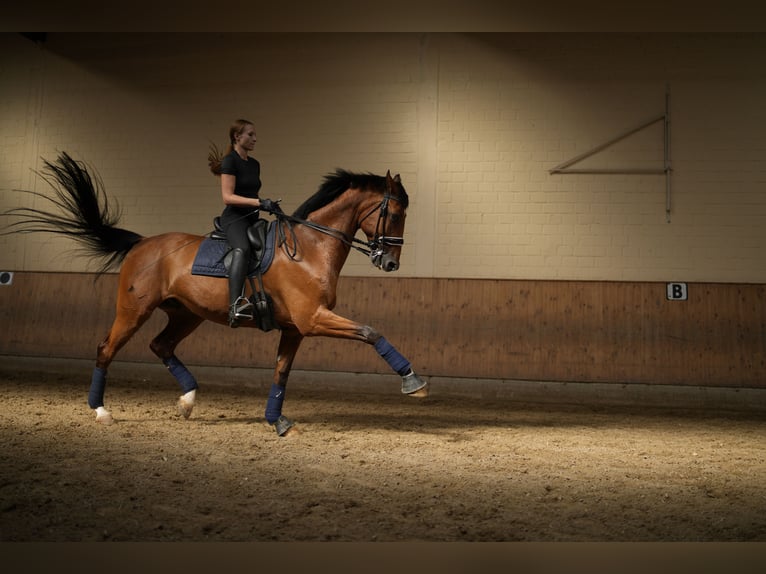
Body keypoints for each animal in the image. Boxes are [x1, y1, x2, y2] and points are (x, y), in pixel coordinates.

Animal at [0, 153, 428, 436]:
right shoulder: (312, 319)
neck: (309, 247)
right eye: (394, 214)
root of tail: (142, 243)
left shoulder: (296, 328)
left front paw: (276, 420)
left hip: (186, 313)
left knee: (160, 345)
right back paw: (102, 411)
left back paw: (188, 400)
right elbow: (371, 332)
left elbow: (281, 372)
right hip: (134, 310)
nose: (391, 263)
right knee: (106, 348)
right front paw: (412, 382)